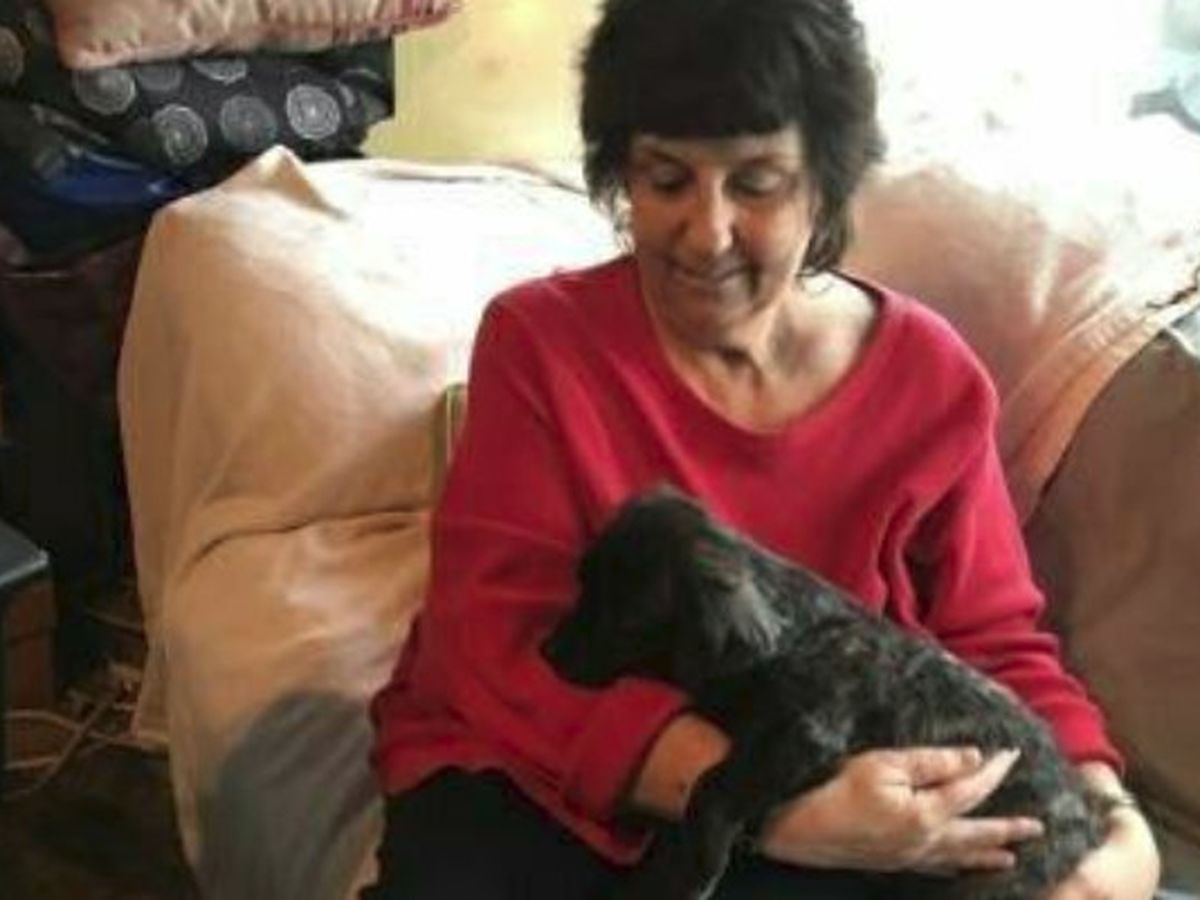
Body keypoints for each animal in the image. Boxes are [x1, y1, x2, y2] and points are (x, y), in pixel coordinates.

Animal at [542, 486, 1110, 900]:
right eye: (582, 580)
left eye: (629, 619)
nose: (545, 652)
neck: (789, 636)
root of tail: (1088, 813)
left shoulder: (803, 734)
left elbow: (711, 788)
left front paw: (694, 871)